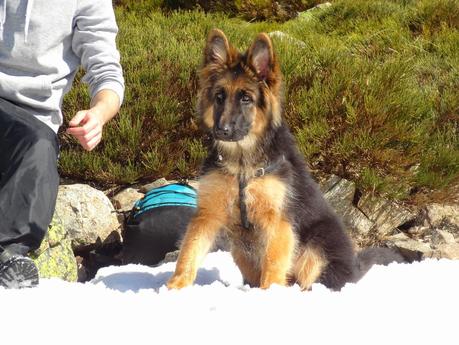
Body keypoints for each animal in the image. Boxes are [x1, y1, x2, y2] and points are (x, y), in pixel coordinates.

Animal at [166, 29, 366, 288]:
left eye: (246, 98)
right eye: (219, 96)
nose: (222, 131)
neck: (242, 165)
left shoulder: (278, 222)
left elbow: (273, 264)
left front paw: (269, 292)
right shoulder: (207, 215)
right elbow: (189, 252)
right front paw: (175, 287)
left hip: (316, 248)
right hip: (241, 251)